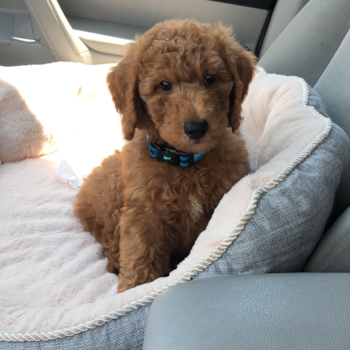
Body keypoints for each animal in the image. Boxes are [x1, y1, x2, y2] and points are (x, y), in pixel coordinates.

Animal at [74, 19, 254, 292]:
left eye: (210, 78)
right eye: (164, 85)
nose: (196, 127)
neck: (184, 162)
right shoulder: (143, 215)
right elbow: (140, 255)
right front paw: (136, 289)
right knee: (111, 242)